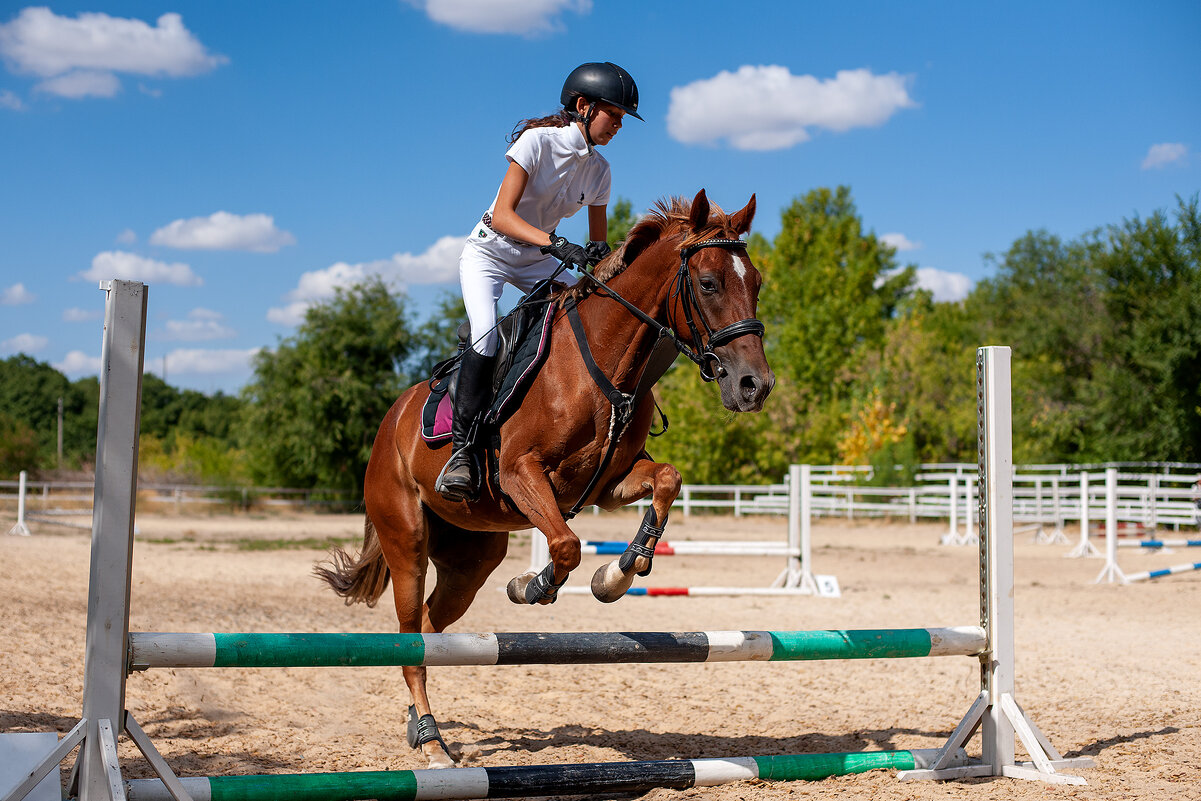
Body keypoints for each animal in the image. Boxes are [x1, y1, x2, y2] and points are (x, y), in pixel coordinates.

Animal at [314, 189, 773, 768]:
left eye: (756, 282)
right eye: (709, 283)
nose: (755, 385)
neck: (604, 360)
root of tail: (389, 423)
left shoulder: (608, 483)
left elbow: (666, 480)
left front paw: (619, 572)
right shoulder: (522, 474)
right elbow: (566, 545)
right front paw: (534, 586)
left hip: (472, 559)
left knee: (428, 629)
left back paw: (418, 723)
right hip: (408, 538)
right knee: (410, 634)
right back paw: (433, 743)